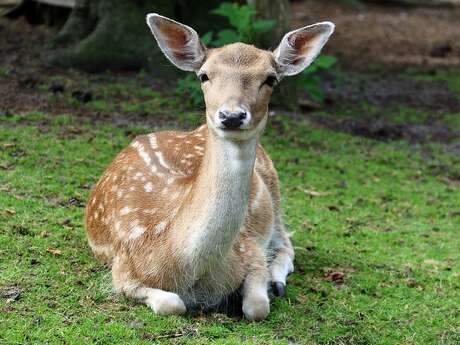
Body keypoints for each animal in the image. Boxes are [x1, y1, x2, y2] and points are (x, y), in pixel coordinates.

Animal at [84, 13, 332, 320]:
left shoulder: (249, 248)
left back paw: (277, 282)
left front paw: (263, 289)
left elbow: (257, 306)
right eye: (204, 75)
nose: (232, 116)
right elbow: (171, 303)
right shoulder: (123, 267)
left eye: (270, 79)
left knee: (286, 241)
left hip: (275, 193)